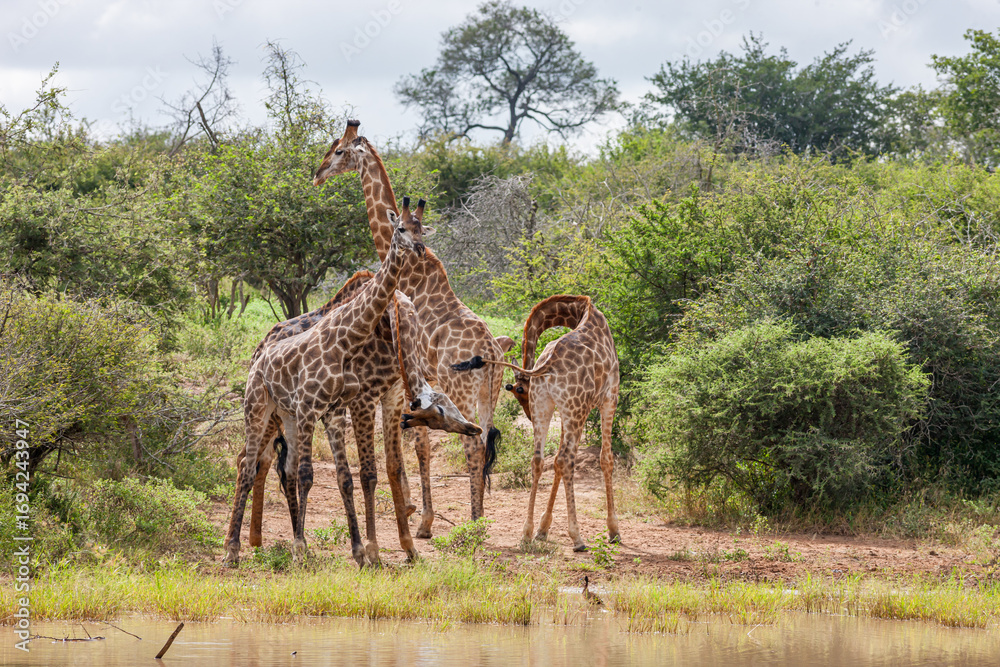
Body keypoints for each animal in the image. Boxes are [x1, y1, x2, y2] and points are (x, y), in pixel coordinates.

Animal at [224, 198, 431, 565]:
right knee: (249, 464)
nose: (419, 249)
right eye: (401, 228)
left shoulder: (351, 408)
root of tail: (259, 349)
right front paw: (369, 552)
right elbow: (359, 474)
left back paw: (257, 540)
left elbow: (364, 473)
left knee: (275, 466)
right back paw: (236, 546)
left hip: (287, 416)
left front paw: (390, 549)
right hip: (262, 410)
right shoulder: (350, 402)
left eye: (423, 228)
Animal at [312, 120, 513, 537]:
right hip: (491, 394)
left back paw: (473, 525)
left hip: (462, 388)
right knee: (487, 440)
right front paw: (416, 513)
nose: (318, 174)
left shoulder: (415, 378)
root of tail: (491, 353)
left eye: (339, 151)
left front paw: (421, 521)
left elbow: (418, 443)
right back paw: (487, 520)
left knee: (473, 445)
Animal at [451, 295, 621, 552]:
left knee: (539, 460)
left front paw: (542, 528)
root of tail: (547, 366)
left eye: (519, 390)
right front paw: (613, 530)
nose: (528, 414)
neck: (582, 311)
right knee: (566, 459)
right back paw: (577, 538)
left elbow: (556, 463)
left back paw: (526, 533)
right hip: (576, 409)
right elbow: (606, 459)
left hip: (547, 407)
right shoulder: (609, 398)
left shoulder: (564, 410)